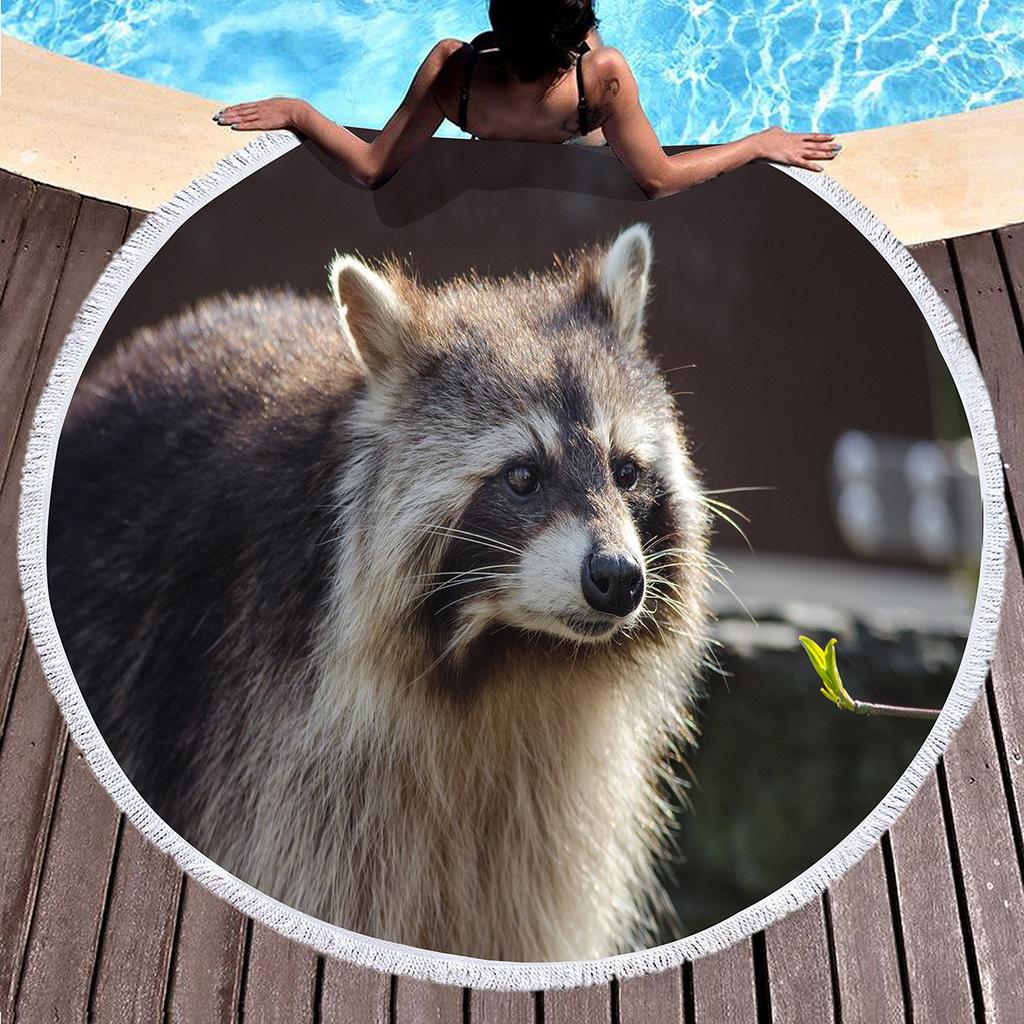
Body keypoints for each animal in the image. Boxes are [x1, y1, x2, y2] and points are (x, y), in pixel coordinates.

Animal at [47, 224, 712, 961]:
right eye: (522, 477)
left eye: (626, 472)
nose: (617, 578)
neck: (508, 658)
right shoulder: (274, 755)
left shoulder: (541, 816)